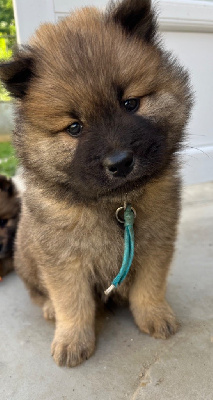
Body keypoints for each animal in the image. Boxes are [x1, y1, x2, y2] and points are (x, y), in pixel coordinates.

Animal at [0, 0, 193, 368]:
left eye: (130, 104)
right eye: (75, 128)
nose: (119, 162)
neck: (115, 203)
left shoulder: (156, 243)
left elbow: (150, 286)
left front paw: (154, 315)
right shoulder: (63, 260)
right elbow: (72, 302)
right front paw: (72, 340)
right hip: (26, 255)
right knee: (38, 293)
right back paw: (48, 308)